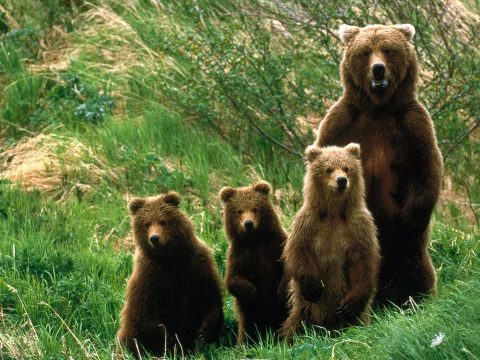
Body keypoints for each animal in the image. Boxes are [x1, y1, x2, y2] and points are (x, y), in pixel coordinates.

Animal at [116, 191, 223, 358]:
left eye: (162, 221)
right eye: (146, 224)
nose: (154, 238)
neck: (170, 259)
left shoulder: (197, 265)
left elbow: (209, 296)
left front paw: (205, 332)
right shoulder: (148, 277)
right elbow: (147, 314)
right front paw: (173, 343)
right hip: (130, 332)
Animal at [219, 181, 286, 344]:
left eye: (255, 208)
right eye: (239, 211)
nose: (248, 223)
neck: (254, 240)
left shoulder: (275, 246)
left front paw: (279, 289)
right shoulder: (239, 255)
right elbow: (232, 280)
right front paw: (253, 292)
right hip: (249, 318)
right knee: (247, 330)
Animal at [282, 144, 378, 340]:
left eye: (347, 168)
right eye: (328, 169)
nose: (341, 180)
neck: (333, 212)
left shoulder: (358, 225)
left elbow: (363, 259)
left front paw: (350, 304)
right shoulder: (308, 223)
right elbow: (298, 251)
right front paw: (314, 287)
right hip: (304, 309)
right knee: (295, 324)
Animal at [316, 24, 442, 306]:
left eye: (388, 49)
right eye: (365, 51)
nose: (378, 69)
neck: (378, 108)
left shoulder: (412, 125)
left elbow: (425, 168)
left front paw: (409, 221)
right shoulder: (341, 123)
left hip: (409, 255)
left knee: (415, 270)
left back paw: (413, 298)